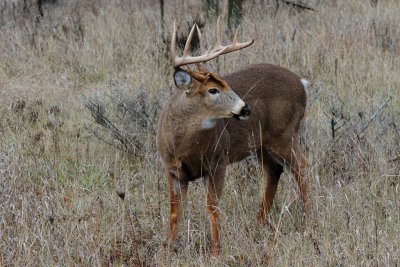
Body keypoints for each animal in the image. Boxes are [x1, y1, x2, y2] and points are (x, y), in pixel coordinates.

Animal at [156, 18, 310, 258]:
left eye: (227, 84)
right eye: (213, 90)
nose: (245, 108)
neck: (185, 148)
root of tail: (302, 84)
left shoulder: (218, 162)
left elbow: (213, 208)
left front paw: (216, 252)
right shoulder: (172, 169)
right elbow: (174, 212)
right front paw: (167, 250)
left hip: (284, 134)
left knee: (302, 169)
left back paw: (310, 225)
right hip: (262, 144)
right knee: (274, 171)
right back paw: (259, 223)